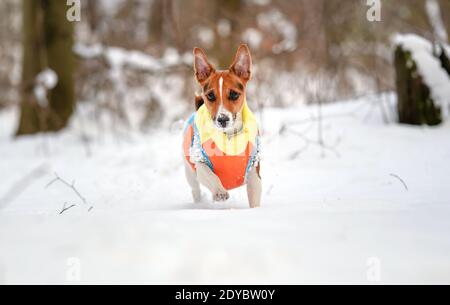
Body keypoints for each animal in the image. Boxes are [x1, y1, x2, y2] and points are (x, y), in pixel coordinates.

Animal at [182, 44, 262, 207]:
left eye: (234, 94)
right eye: (210, 95)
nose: (222, 119)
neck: (230, 136)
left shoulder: (254, 170)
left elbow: (254, 194)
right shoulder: (200, 161)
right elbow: (209, 175)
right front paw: (219, 192)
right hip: (189, 172)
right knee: (195, 189)